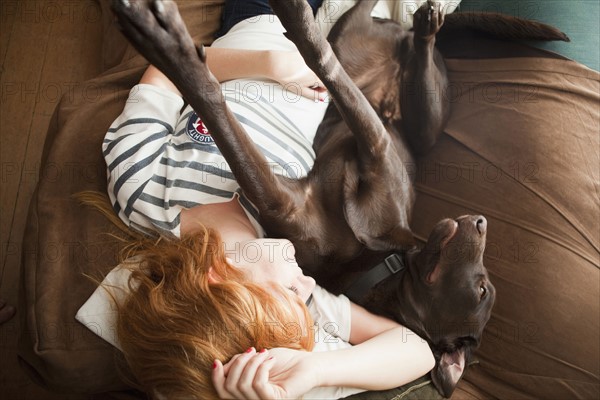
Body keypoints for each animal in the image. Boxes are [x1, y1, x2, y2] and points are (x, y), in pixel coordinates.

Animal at [111, 0, 568, 394]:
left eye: (483, 292)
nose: (480, 222)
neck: (380, 260)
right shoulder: (362, 154)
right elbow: (326, 77)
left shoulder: (297, 193)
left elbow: (222, 108)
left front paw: (164, 42)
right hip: (398, 88)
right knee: (372, 32)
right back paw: (422, 24)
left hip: (420, 117)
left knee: (339, 58)